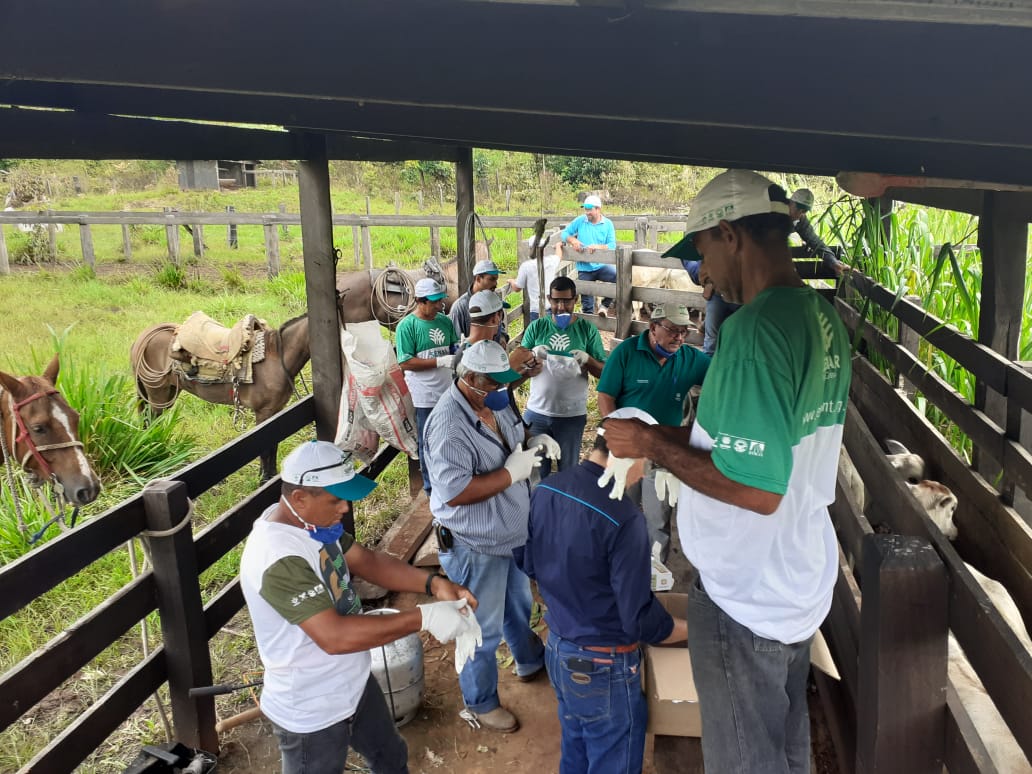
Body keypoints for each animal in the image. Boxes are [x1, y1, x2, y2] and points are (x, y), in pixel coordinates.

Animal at [128, 311, 307, 482]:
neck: (276, 358)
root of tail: (141, 338)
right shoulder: (263, 412)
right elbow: (265, 448)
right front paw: (264, 480)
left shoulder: (277, 411)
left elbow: (274, 444)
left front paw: (271, 475)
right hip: (158, 394)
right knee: (151, 422)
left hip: (168, 393)